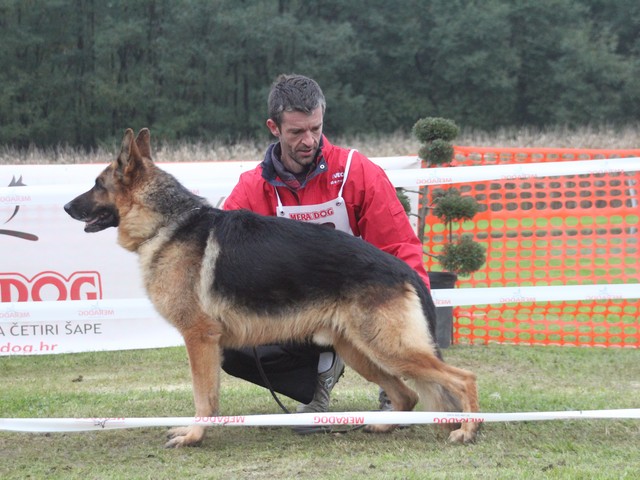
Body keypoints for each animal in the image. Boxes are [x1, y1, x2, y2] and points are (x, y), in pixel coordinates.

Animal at [63, 129, 480, 448]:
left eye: (97, 184)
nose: (66, 207)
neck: (167, 223)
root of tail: (406, 271)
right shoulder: (209, 343)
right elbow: (209, 396)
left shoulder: (199, 338)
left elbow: (203, 397)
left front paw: (195, 436)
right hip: (360, 349)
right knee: (408, 393)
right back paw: (384, 424)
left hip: (389, 347)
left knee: (463, 378)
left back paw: (468, 429)